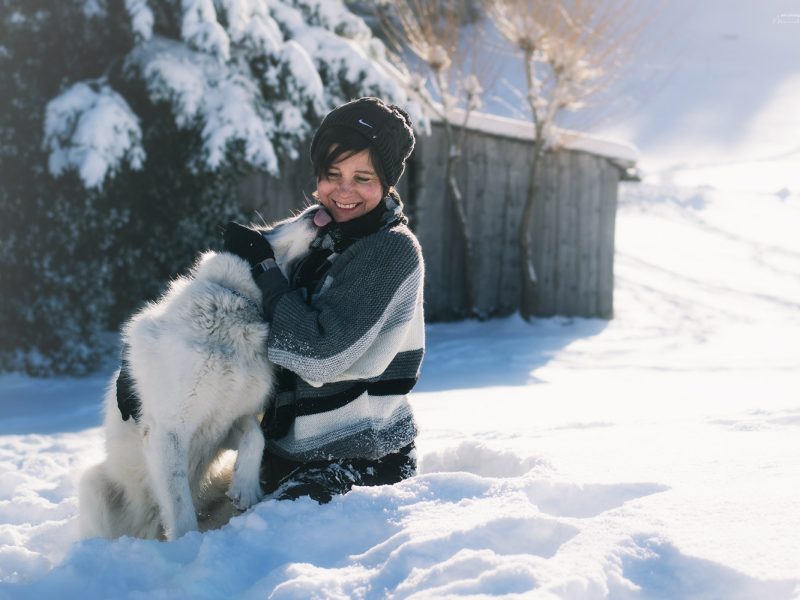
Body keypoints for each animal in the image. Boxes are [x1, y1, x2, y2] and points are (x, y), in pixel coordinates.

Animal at [78, 205, 322, 540]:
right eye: (268, 229)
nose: (317, 209)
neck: (236, 308)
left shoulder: (228, 423)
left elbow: (256, 437)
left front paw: (245, 487)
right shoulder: (167, 433)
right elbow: (180, 508)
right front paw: (187, 546)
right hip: (93, 486)